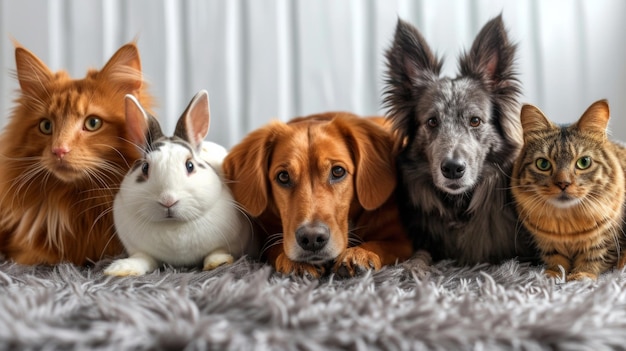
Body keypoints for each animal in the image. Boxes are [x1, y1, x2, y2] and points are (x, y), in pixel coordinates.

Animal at [103, 89, 255, 276]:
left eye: (190, 165)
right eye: (145, 168)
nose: (168, 200)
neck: (173, 226)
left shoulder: (230, 242)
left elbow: (217, 251)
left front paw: (219, 262)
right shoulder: (140, 251)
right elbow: (142, 259)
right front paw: (120, 269)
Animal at [222, 112, 412, 278]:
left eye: (338, 171)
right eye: (283, 176)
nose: (312, 238)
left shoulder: (403, 240)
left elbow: (382, 244)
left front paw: (361, 252)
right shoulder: (266, 237)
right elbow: (276, 246)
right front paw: (296, 262)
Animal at [382, 15, 532, 266]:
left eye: (475, 121)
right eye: (432, 121)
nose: (453, 169)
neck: (459, 206)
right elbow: (419, 256)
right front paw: (414, 267)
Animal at [510, 100, 624, 282]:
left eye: (584, 162)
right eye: (543, 164)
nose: (563, 183)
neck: (567, 224)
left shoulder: (605, 241)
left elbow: (593, 258)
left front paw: (580, 276)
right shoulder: (546, 243)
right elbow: (557, 261)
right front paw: (552, 275)